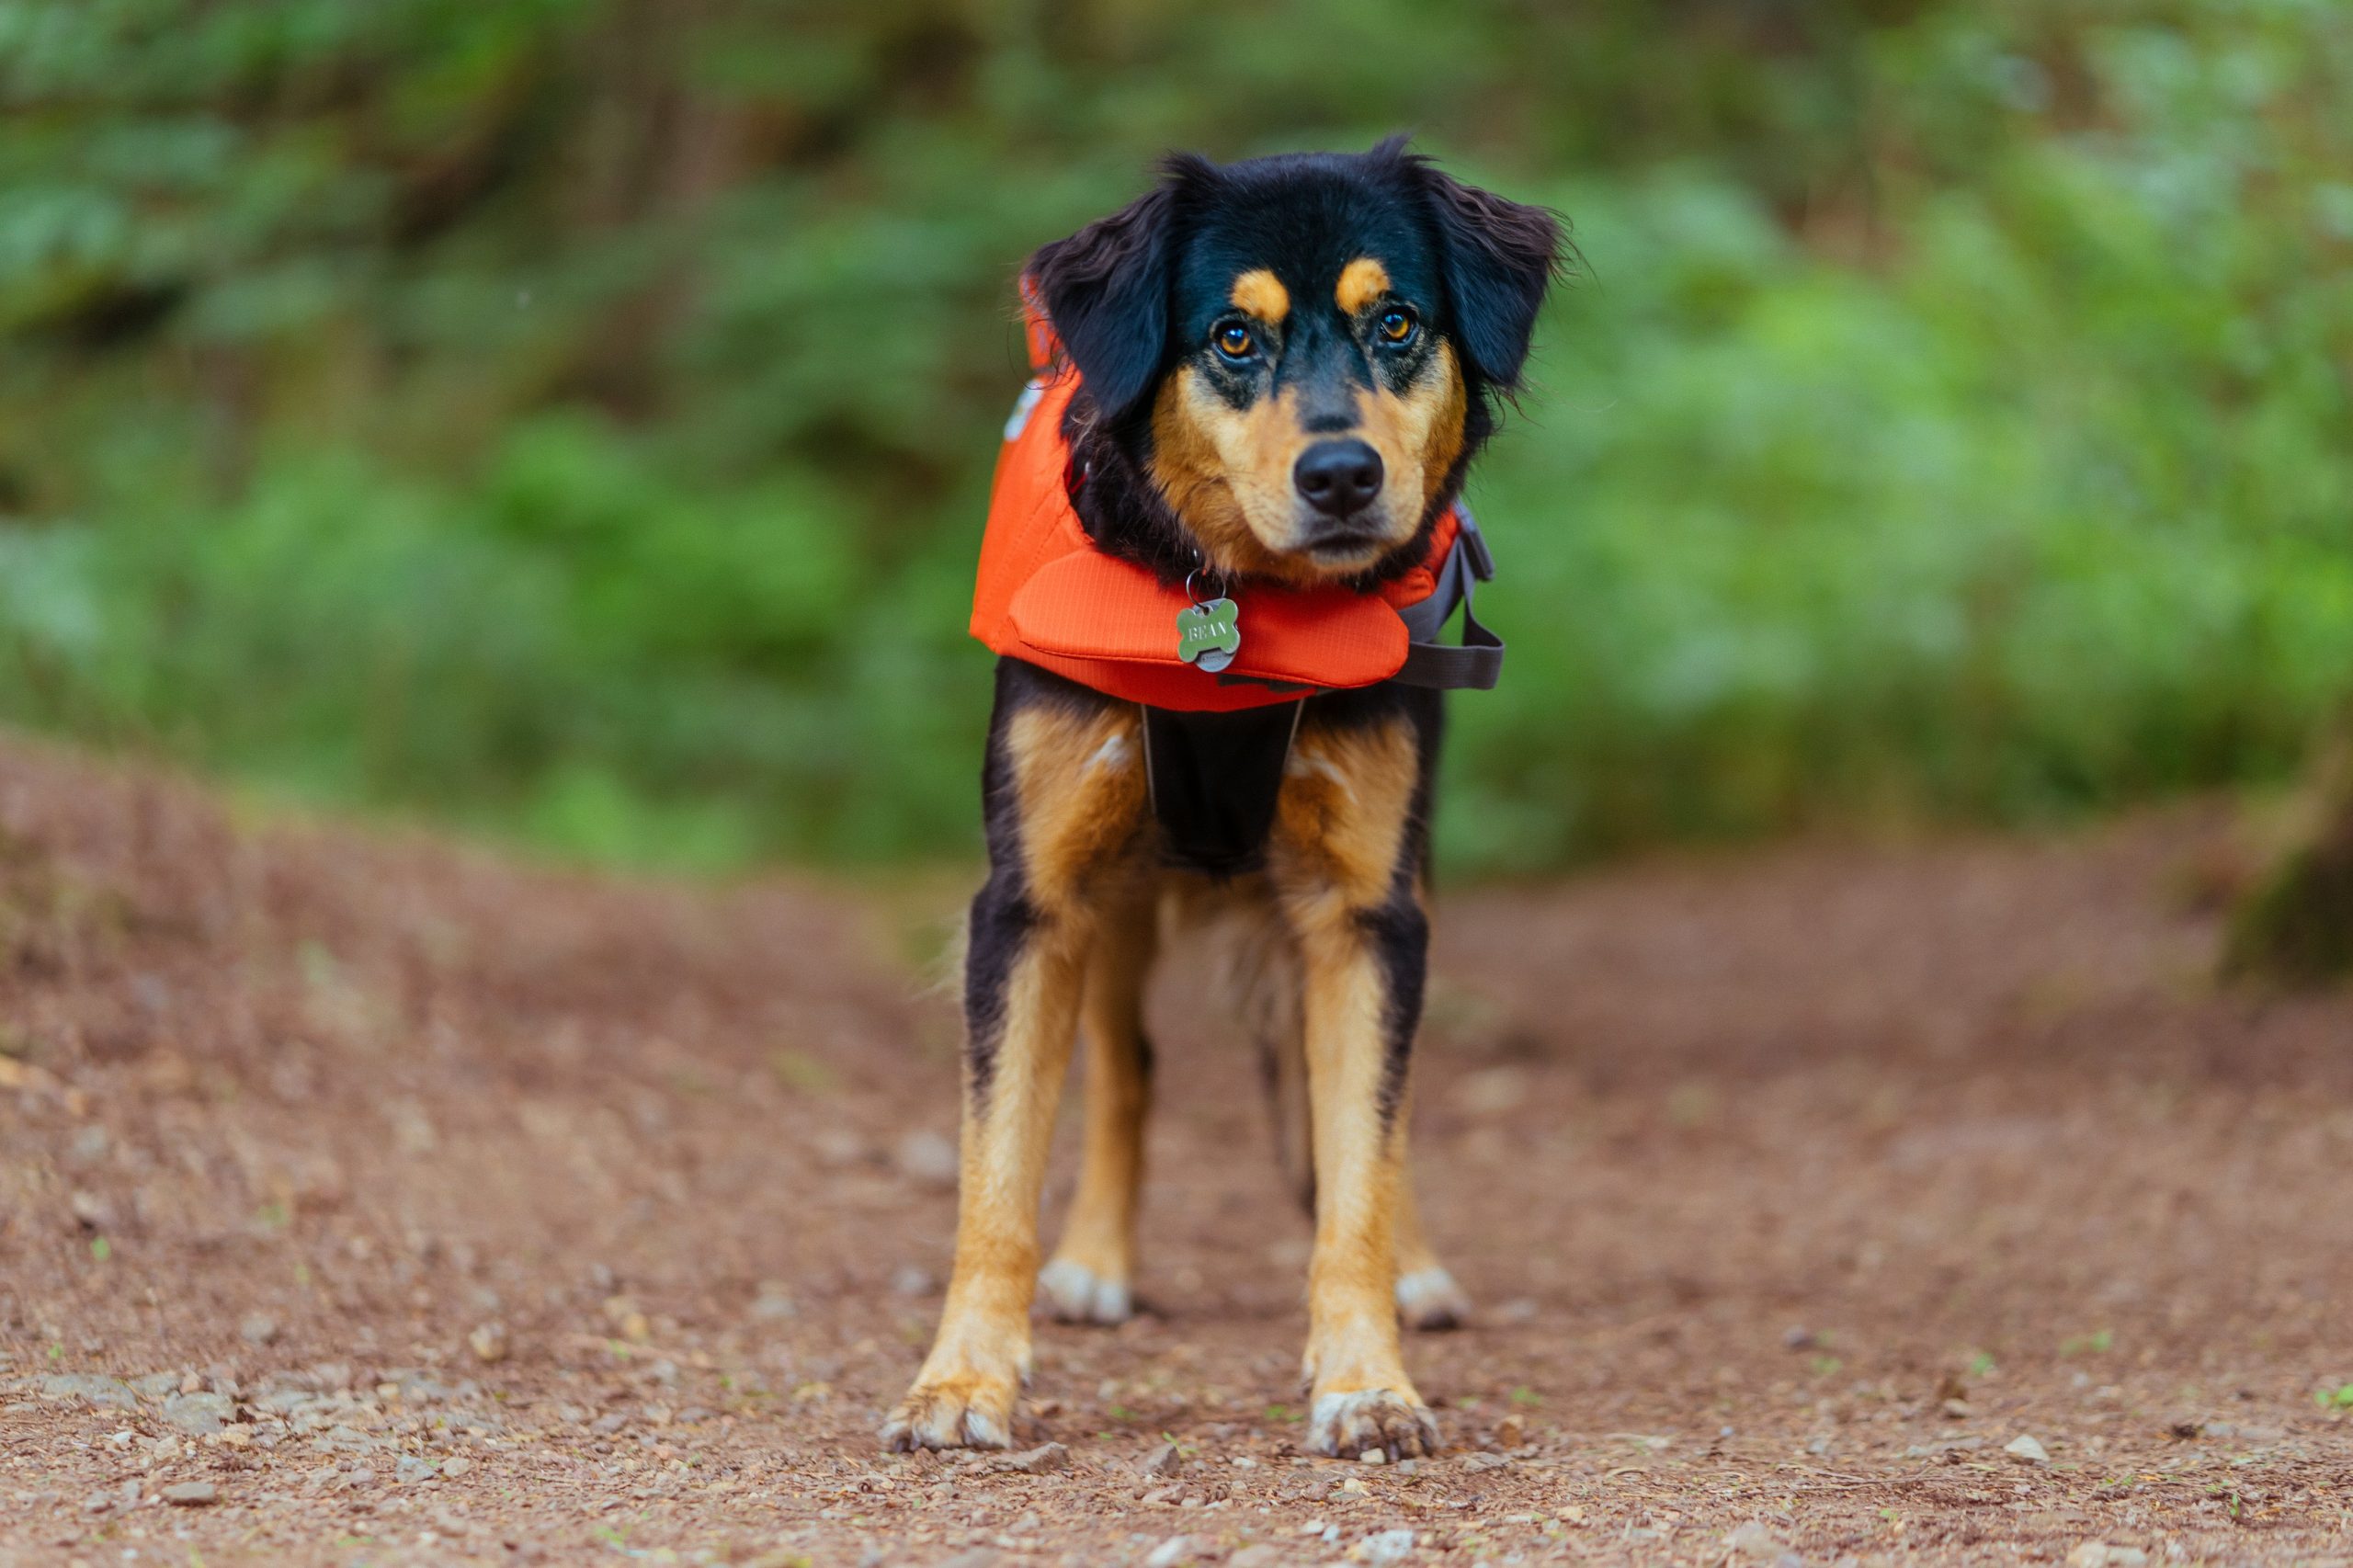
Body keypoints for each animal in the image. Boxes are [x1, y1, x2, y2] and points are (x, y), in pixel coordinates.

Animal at [884, 141, 1562, 1460]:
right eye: (1232, 338)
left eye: (1397, 322)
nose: (1342, 473)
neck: (1242, 614)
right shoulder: (1030, 902)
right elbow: (998, 1171)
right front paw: (962, 1378)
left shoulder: (1365, 913)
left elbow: (1358, 1162)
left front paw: (1367, 1379)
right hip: (1114, 904)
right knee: (1127, 1067)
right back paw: (1096, 1261)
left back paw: (1418, 1270)